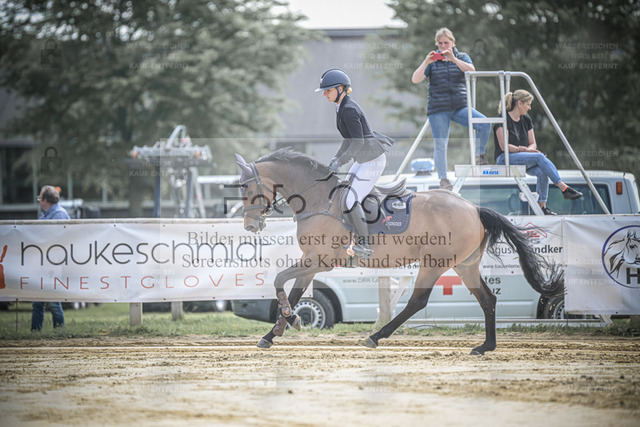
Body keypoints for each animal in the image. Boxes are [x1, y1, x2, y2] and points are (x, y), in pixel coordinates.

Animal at [235, 148, 564, 355]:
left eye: (246, 188)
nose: (250, 226)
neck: (317, 200)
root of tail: (474, 208)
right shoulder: (310, 261)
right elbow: (293, 292)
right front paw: (277, 331)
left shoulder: (320, 261)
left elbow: (279, 280)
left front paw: (290, 321)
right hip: (465, 265)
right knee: (487, 299)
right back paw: (485, 347)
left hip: (434, 262)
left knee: (418, 301)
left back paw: (375, 337)